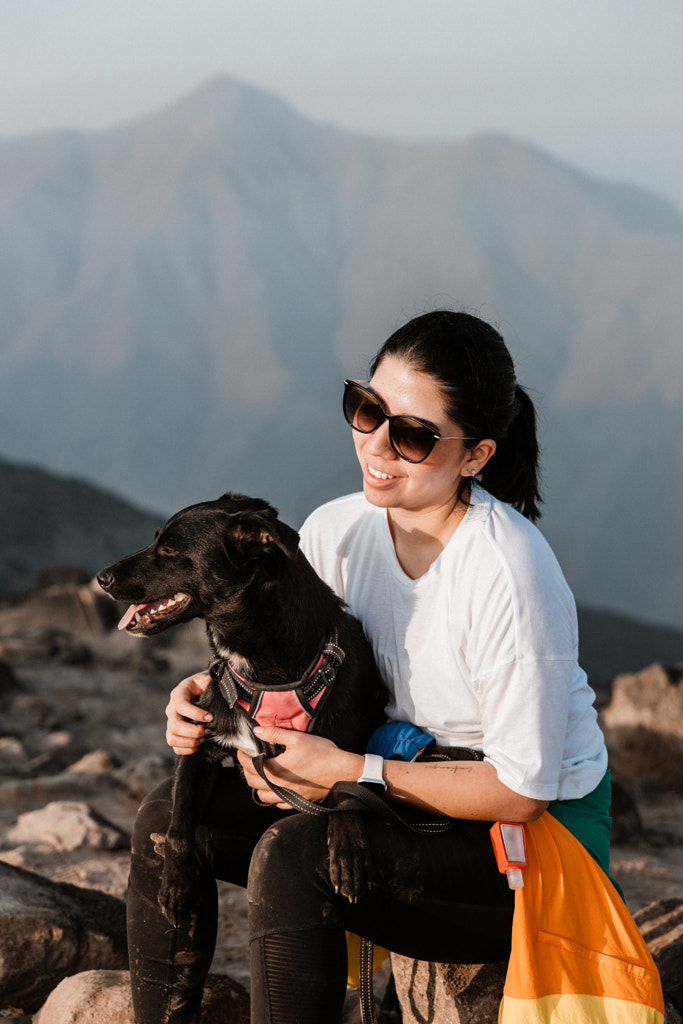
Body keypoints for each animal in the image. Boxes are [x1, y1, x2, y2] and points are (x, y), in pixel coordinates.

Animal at [99, 491, 393, 925]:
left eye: (170, 548)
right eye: (157, 540)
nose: (101, 577)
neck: (262, 669)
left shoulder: (351, 739)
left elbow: (346, 784)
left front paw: (349, 851)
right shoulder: (196, 747)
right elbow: (177, 825)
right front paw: (176, 885)